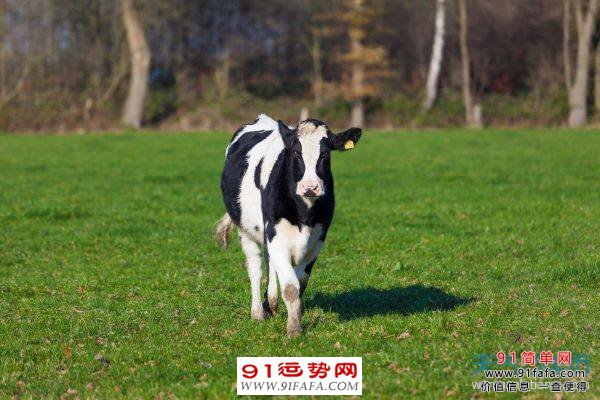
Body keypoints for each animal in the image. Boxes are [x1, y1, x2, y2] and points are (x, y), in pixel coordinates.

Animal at [216, 114, 360, 336]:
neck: (304, 213)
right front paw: (293, 329)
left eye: (325, 153)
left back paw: (272, 303)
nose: (310, 187)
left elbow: (301, 283)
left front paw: (295, 317)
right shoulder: (276, 236)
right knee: (255, 267)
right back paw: (257, 312)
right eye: (296, 152)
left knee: (270, 262)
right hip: (246, 231)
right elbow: (291, 286)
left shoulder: (317, 240)